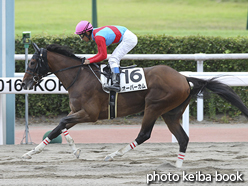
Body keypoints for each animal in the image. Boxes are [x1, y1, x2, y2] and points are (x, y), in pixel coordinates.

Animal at [20, 43, 248, 167]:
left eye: (32, 62)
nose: (24, 83)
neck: (79, 76)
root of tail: (184, 78)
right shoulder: (77, 110)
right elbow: (60, 127)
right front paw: (35, 153)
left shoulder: (89, 114)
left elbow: (60, 123)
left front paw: (34, 152)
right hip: (171, 113)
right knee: (183, 138)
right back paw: (177, 166)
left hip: (154, 106)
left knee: (144, 134)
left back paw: (113, 155)